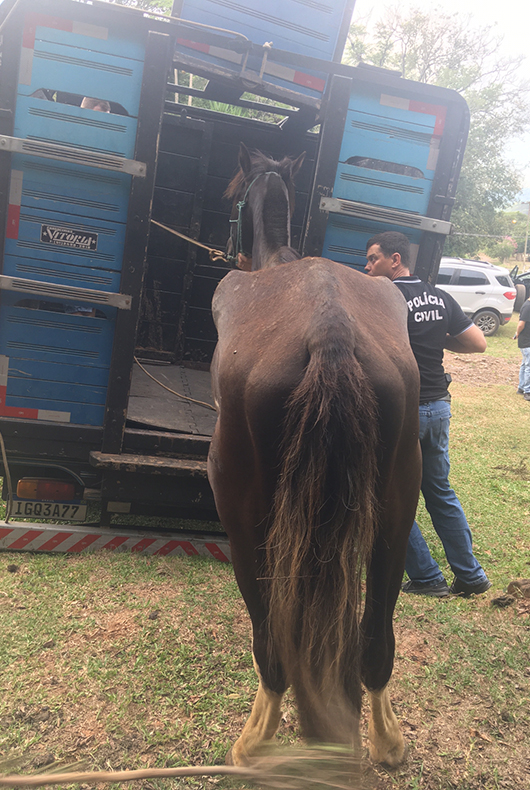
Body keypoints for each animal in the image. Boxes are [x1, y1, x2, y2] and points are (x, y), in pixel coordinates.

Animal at [207, 142, 420, 768]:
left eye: (232, 192)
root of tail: (329, 328)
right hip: (398, 503)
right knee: (376, 641)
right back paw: (387, 738)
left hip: (242, 506)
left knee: (270, 635)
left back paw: (256, 738)